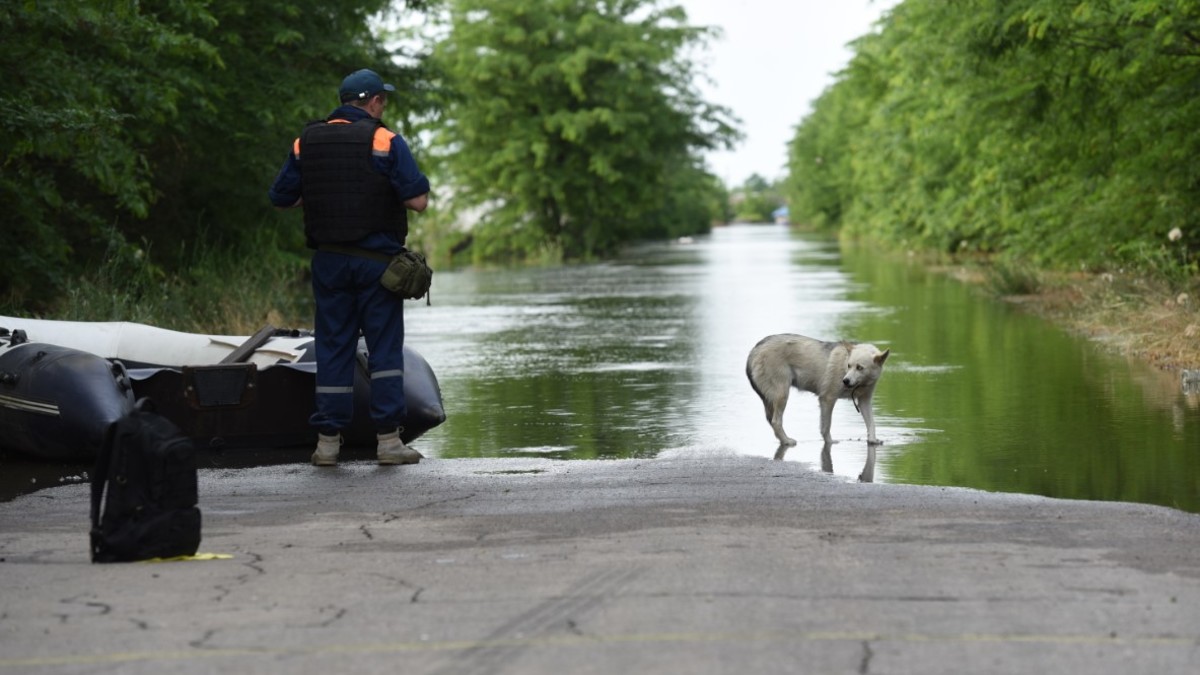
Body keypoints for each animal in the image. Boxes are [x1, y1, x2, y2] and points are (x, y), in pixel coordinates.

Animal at [744, 331, 888, 446]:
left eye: (860, 368)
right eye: (849, 365)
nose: (845, 381)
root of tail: (755, 348)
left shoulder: (864, 401)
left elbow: (871, 423)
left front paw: (873, 440)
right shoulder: (827, 399)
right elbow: (826, 426)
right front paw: (829, 442)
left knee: (772, 421)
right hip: (782, 395)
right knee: (775, 422)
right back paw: (787, 441)